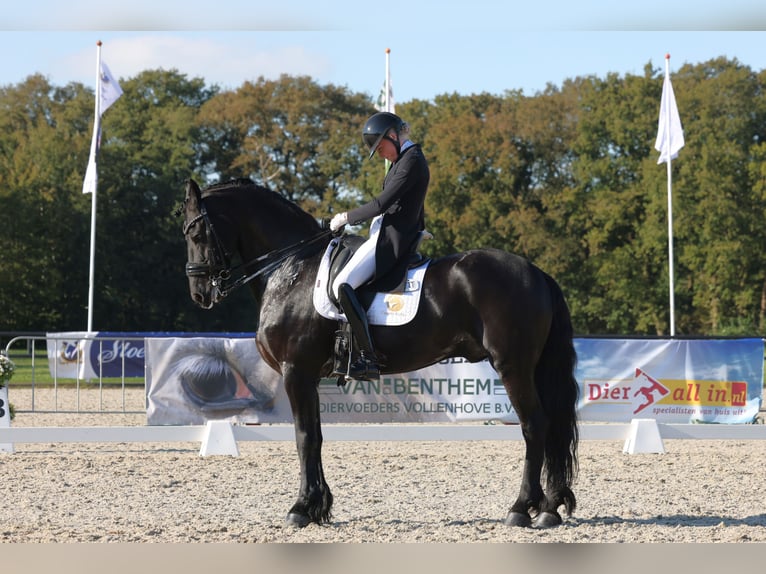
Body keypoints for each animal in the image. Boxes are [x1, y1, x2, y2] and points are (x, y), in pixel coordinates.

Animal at [180, 179, 580, 532]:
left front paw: (301, 509)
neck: (293, 268)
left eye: (197, 234)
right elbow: (317, 437)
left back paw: (521, 509)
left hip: (513, 366)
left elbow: (304, 437)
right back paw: (550, 509)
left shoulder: (296, 371)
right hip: (531, 367)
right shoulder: (311, 376)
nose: (199, 294)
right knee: (550, 427)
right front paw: (320, 507)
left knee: (534, 426)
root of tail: (536, 272)